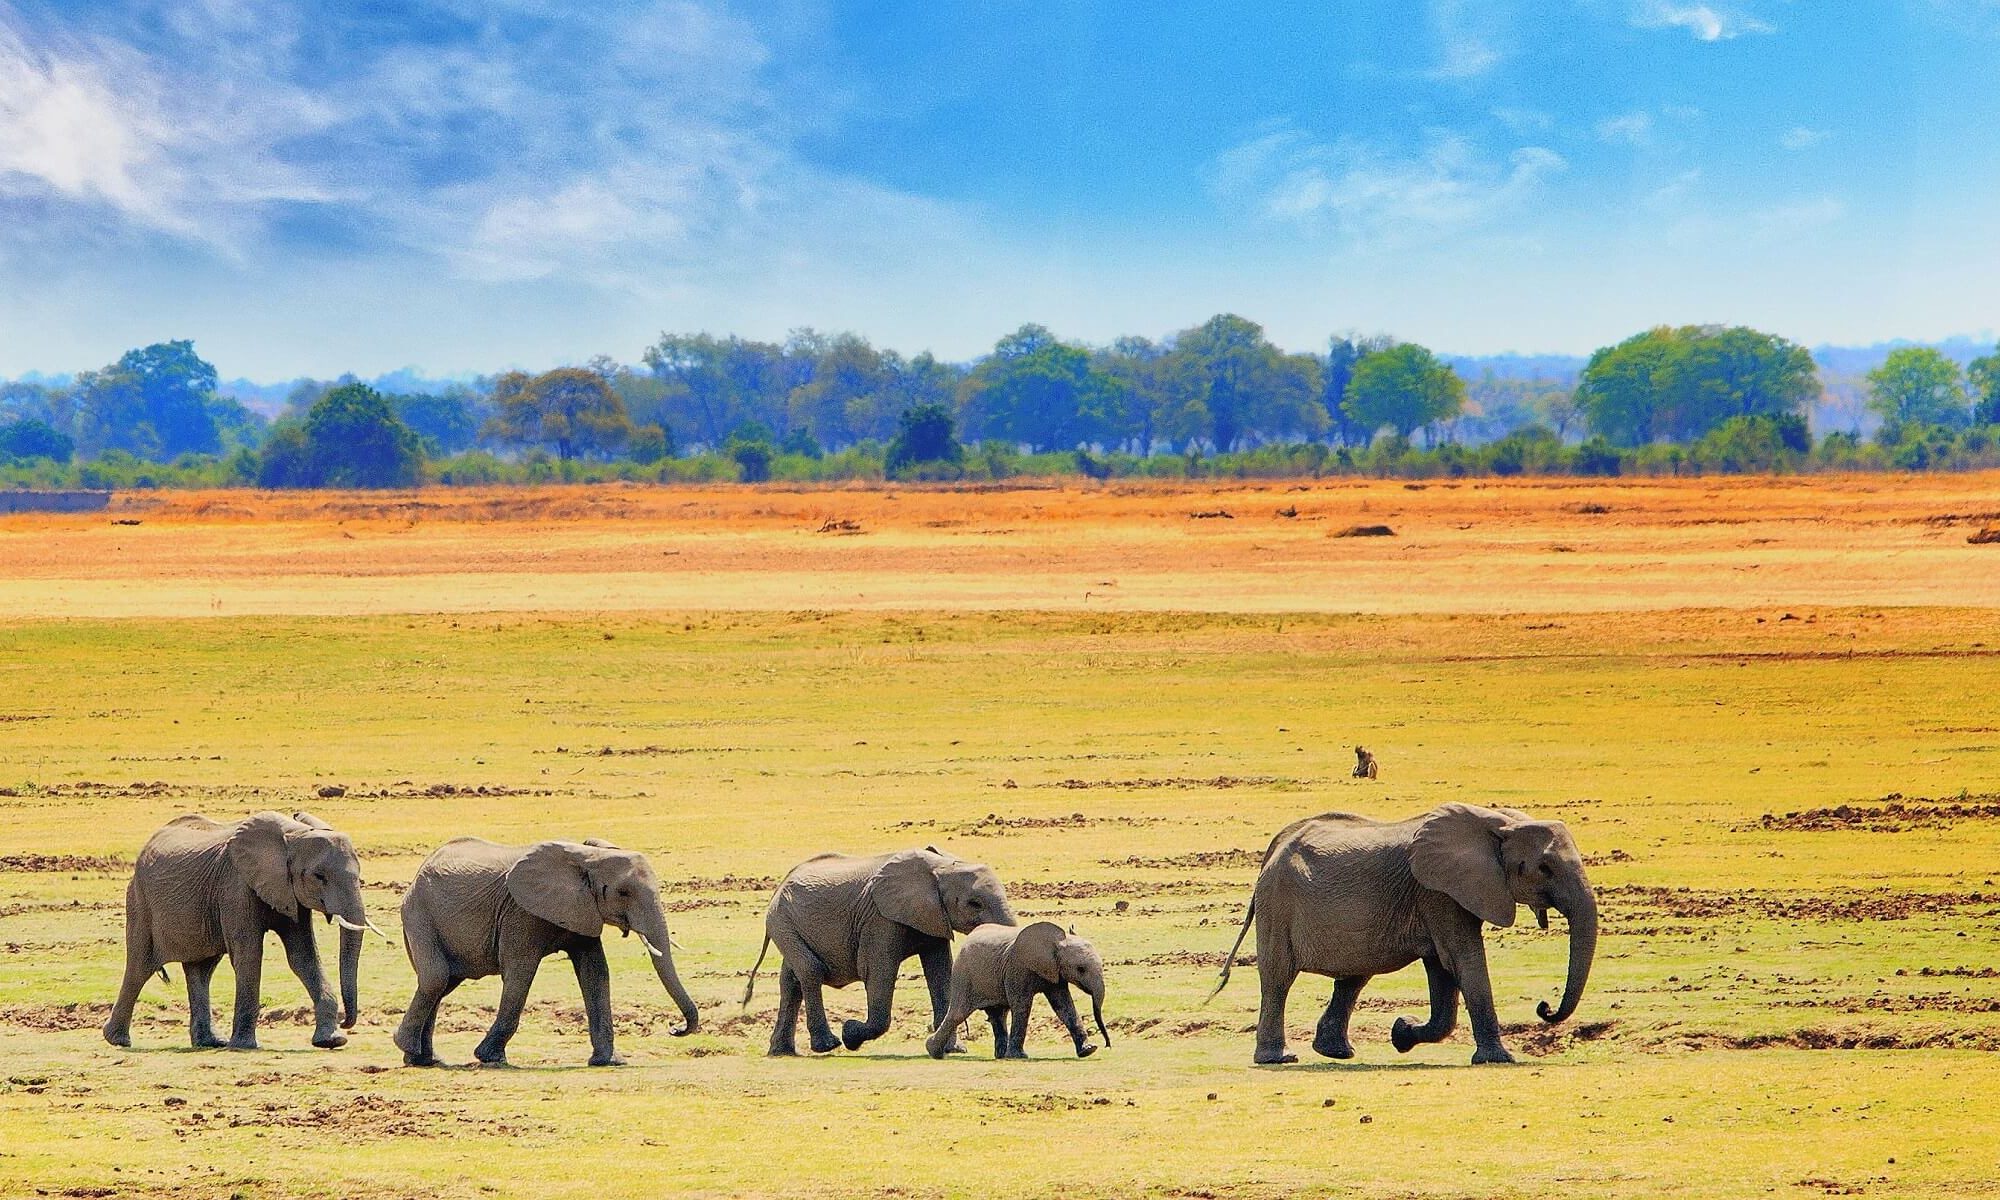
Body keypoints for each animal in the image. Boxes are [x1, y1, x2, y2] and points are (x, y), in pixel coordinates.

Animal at [102, 808, 382, 1048]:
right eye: (319, 877)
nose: (346, 1022)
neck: (294, 835)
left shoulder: (289, 894)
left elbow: (303, 958)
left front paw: (331, 1041)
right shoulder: (236, 886)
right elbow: (248, 954)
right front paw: (244, 1046)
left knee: (201, 970)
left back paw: (211, 1042)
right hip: (139, 900)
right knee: (140, 966)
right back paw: (117, 1040)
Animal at [392, 836, 704, 1072]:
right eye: (624, 893)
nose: (674, 1029)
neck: (589, 857)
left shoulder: (583, 909)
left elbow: (595, 972)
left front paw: (610, 1062)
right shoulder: (521, 912)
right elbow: (520, 972)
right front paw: (491, 1058)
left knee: (442, 983)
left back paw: (423, 1059)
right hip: (418, 914)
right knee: (436, 978)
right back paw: (408, 1048)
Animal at [744, 848, 1016, 1056]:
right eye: (974, 904)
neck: (939, 868)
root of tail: (780, 884)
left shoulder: (933, 917)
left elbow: (940, 973)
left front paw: (953, 1050)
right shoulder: (879, 919)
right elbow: (878, 971)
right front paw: (850, 1034)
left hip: (788, 922)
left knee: (791, 981)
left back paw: (782, 1052)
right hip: (782, 920)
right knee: (810, 970)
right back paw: (828, 1045)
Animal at [920, 920, 1112, 1056]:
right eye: (1081, 969)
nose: (1107, 1045)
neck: (1055, 941)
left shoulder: (1054, 974)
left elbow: (1065, 1007)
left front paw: (1088, 1050)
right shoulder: (1018, 968)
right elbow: (1022, 1006)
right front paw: (1019, 1057)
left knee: (998, 1016)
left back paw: (1000, 1056)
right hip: (964, 975)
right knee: (958, 1013)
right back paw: (933, 1051)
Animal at [1208, 800, 1600, 1064]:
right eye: (1544, 868)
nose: (1545, 1007)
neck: (1497, 823)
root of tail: (1274, 847)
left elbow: (1443, 971)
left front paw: (1401, 1033)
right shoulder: (1438, 891)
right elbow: (1463, 959)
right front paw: (1498, 1060)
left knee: (1354, 976)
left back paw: (1336, 1052)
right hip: (1277, 903)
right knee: (1279, 979)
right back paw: (1280, 1058)